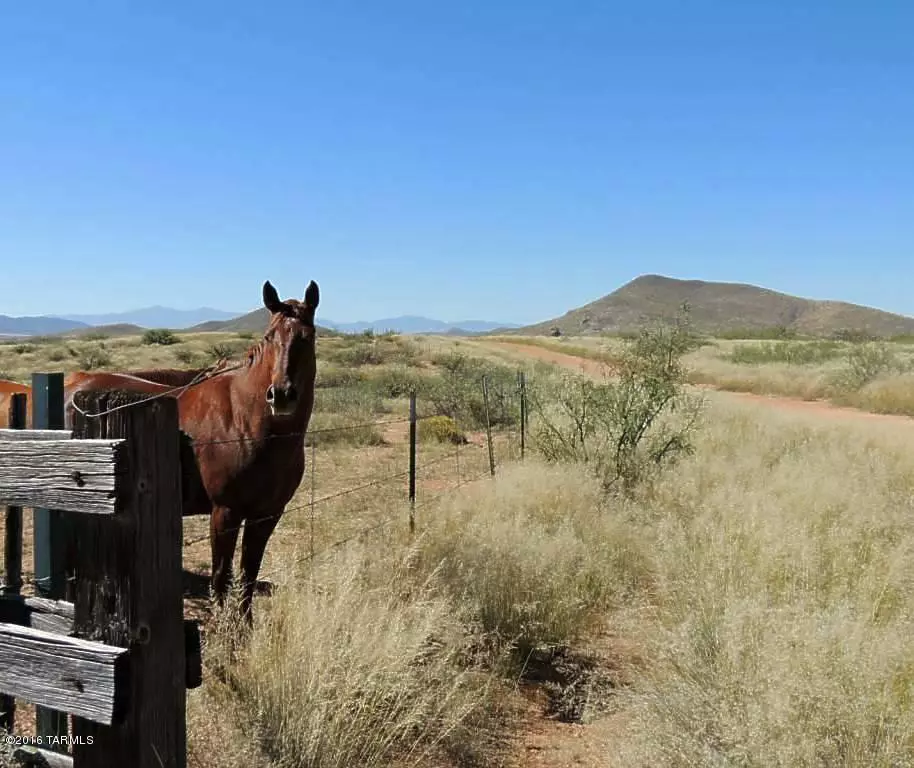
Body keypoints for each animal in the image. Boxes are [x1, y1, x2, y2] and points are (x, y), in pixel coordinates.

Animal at [66, 280, 318, 620]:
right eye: (269, 337)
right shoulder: (225, 512)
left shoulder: (267, 515)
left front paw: (245, 626)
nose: (280, 395)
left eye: (308, 336)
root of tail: (74, 383)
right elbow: (221, 577)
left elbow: (248, 576)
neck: (247, 420)